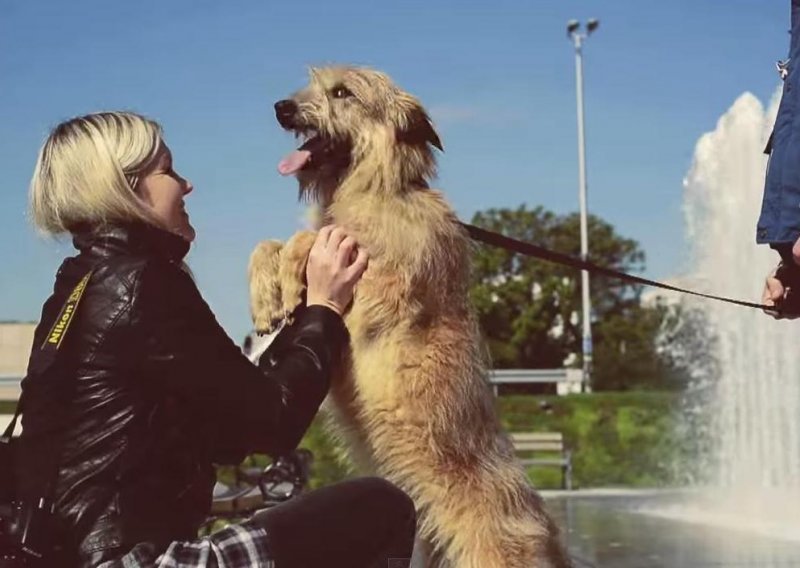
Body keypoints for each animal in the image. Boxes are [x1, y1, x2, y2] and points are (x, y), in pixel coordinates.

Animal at [248, 67, 568, 568]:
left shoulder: (381, 284)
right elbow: (268, 243)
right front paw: (267, 296)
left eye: (342, 92)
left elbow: (309, 240)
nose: (281, 107)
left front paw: (291, 275)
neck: (373, 190)